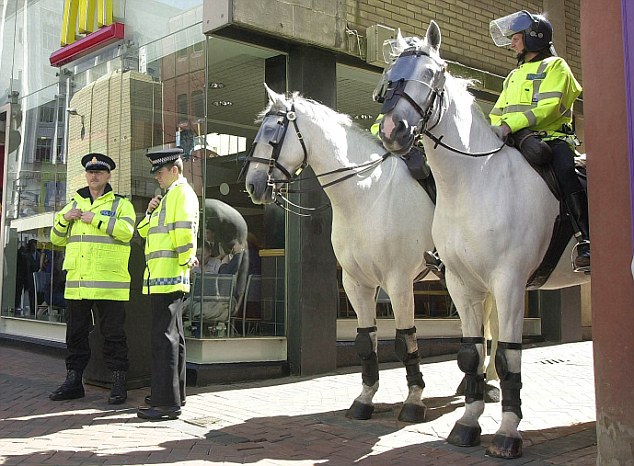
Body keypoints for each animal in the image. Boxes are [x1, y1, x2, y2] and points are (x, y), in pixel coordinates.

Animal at [242, 84, 440, 422]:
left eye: (273, 132)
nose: (253, 185)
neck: (368, 194)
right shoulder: (355, 283)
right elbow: (365, 341)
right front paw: (364, 399)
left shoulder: (400, 283)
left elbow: (405, 340)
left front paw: (414, 401)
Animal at [376, 22, 588, 458]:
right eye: (390, 73)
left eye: (433, 73)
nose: (392, 131)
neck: (476, 181)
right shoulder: (462, 284)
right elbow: (470, 353)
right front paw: (468, 423)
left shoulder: (509, 283)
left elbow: (507, 358)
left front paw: (507, 432)